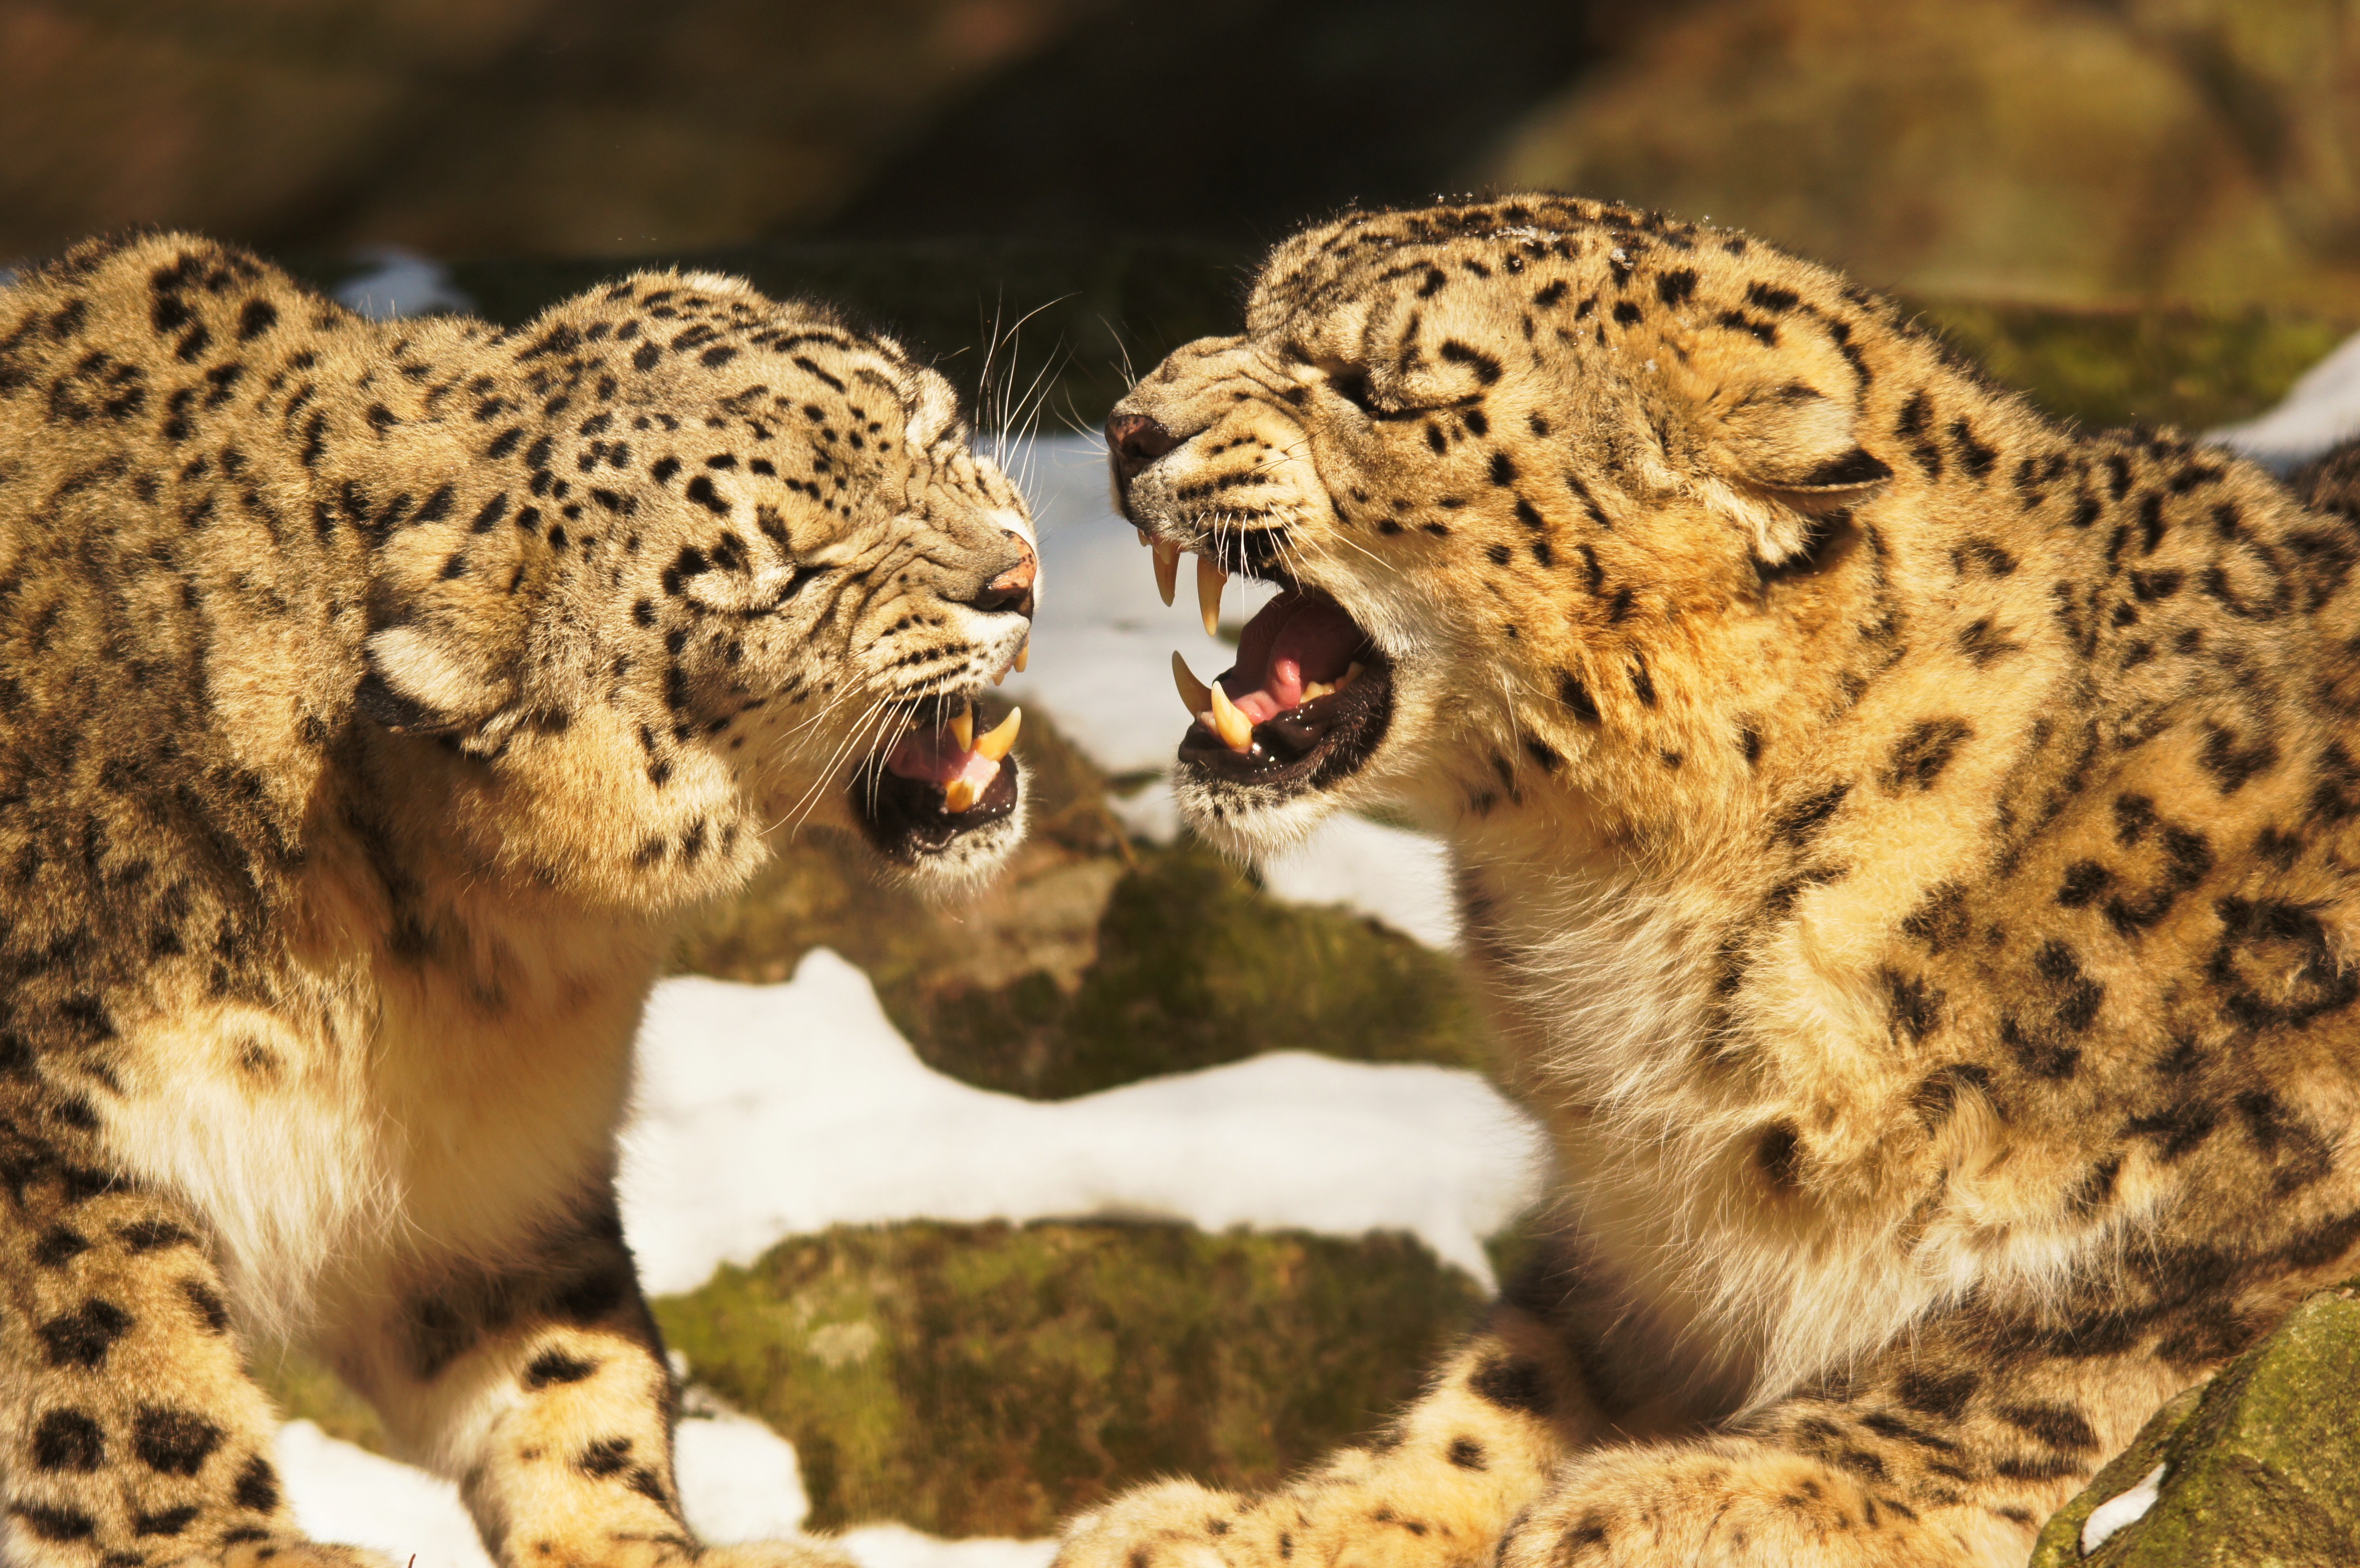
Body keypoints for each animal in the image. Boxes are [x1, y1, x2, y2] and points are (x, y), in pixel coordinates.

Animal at [0, 233, 1033, 1568]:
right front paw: (226, 1536)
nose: (1017, 572)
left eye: (928, 423)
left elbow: (573, 1372)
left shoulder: (488, 1193)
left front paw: (630, 1532)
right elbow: (116, 1364)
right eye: (786, 573)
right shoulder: (47, 1141)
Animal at [1081, 199, 2360, 1568]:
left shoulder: (2266, 1157)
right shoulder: (1627, 1240)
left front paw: (1680, 1501)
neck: (1630, 926)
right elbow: (1503, 1384)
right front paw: (1241, 1527)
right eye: (1255, 313)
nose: (1126, 426)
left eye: (1381, 387)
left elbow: (2055, 1349)